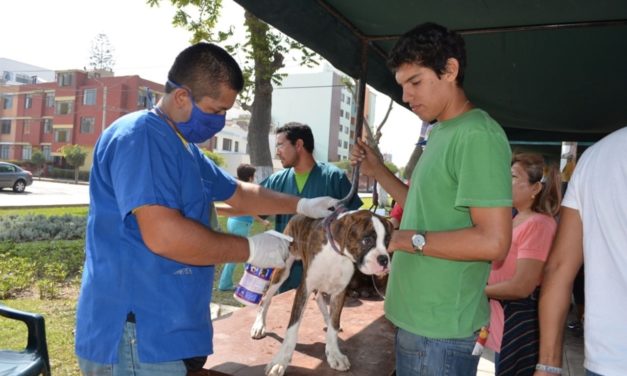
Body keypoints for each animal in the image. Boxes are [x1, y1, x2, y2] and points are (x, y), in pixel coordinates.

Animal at [250, 210, 392, 374]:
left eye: (387, 240)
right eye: (367, 240)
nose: (384, 260)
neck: (336, 255)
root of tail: (297, 215)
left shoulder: (339, 292)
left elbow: (334, 325)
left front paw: (334, 354)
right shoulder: (304, 288)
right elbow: (292, 329)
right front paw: (280, 361)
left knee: (319, 298)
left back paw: (326, 319)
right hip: (283, 269)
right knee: (266, 297)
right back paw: (259, 325)